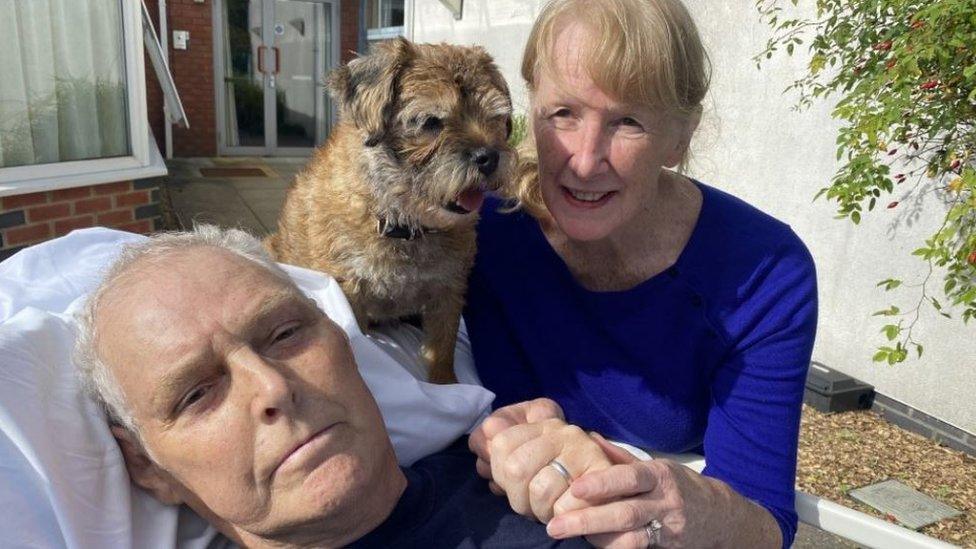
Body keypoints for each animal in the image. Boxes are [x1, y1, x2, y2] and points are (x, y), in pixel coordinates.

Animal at [264, 38, 510, 384]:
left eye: (495, 118)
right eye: (431, 122)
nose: (489, 156)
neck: (403, 222)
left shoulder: (448, 291)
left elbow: (443, 346)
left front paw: (444, 382)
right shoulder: (350, 291)